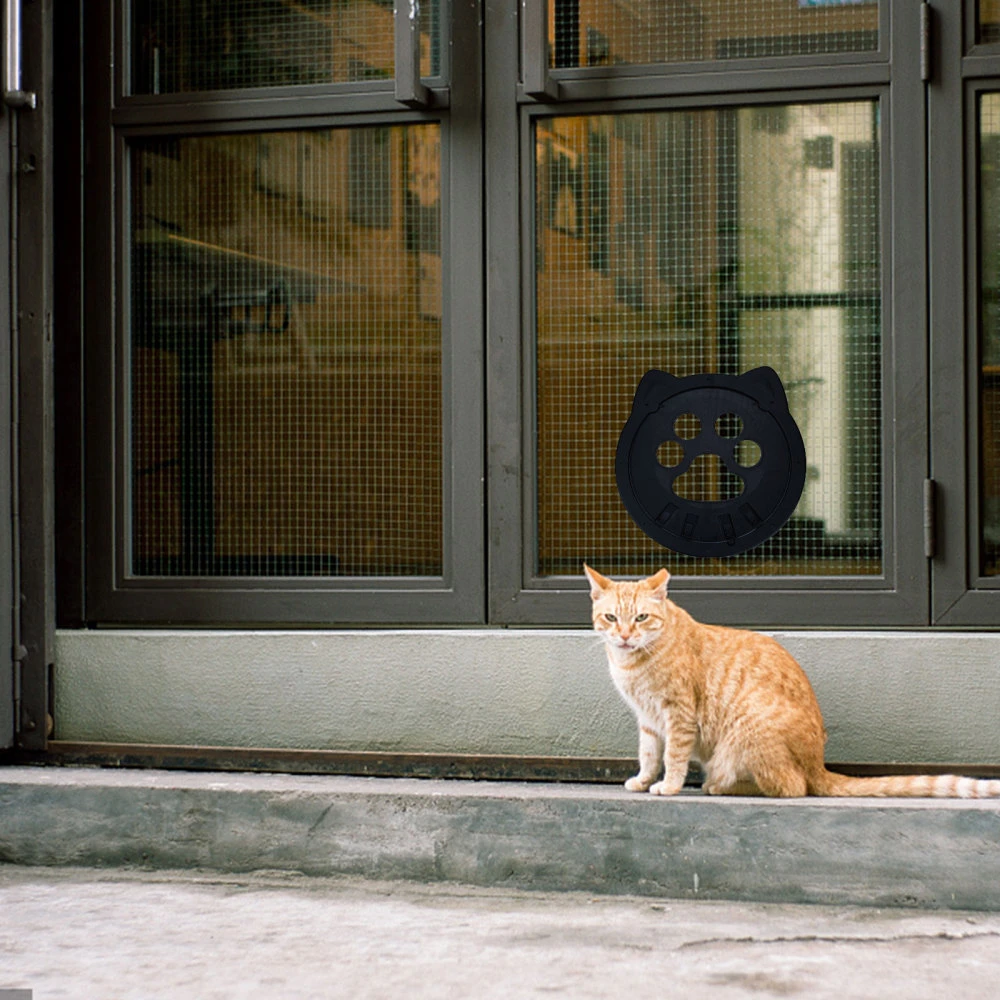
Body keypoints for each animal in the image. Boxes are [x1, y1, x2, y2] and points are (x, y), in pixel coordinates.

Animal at [584, 568, 1000, 800]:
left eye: (641, 618)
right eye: (611, 618)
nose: (624, 636)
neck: (631, 662)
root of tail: (818, 764)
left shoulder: (678, 714)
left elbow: (673, 757)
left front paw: (669, 786)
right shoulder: (649, 719)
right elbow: (649, 755)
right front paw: (642, 780)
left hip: (747, 730)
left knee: (792, 786)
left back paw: (719, 786)